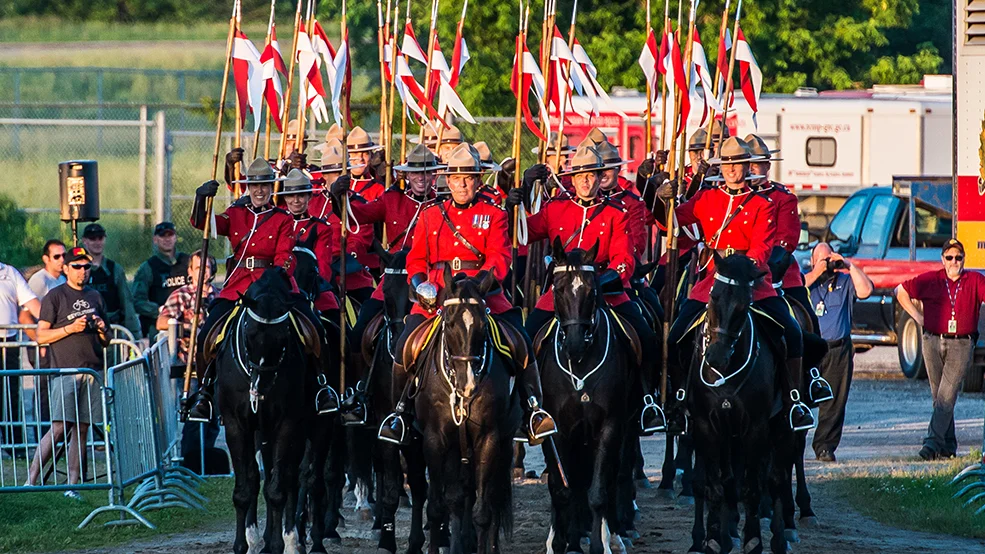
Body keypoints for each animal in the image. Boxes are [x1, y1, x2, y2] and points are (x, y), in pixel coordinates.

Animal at [217, 266, 318, 548]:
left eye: (284, 335)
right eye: (249, 333)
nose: (261, 386)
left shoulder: (287, 424)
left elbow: (277, 489)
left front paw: (277, 543)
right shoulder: (236, 425)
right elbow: (245, 488)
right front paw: (242, 544)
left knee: (293, 477)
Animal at [414, 266, 520, 548]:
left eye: (484, 325)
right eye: (449, 324)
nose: (468, 384)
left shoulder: (489, 438)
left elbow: (483, 512)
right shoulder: (435, 440)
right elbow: (440, 506)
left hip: (503, 444)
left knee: (490, 498)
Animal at [540, 240, 640, 552]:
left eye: (591, 291)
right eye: (557, 289)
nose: (573, 344)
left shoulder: (610, 425)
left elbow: (597, 490)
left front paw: (600, 543)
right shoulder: (559, 429)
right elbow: (565, 488)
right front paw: (565, 542)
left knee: (612, 476)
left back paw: (615, 533)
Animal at [684, 256, 792, 552]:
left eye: (745, 305)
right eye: (713, 297)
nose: (716, 358)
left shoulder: (755, 428)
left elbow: (753, 488)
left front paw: (753, 539)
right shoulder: (707, 427)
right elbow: (715, 486)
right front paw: (712, 539)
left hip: (781, 425)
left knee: (776, 479)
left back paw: (780, 536)